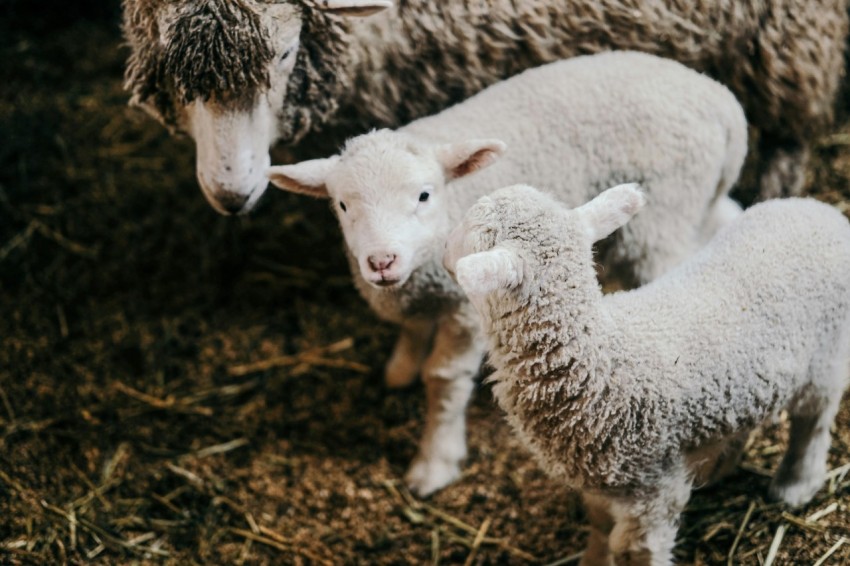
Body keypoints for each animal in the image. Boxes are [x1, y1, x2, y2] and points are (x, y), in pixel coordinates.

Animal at [265, 51, 748, 496]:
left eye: (423, 195)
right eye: (342, 205)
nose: (382, 261)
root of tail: (721, 101)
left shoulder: (463, 311)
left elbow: (443, 380)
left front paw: (435, 461)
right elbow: (413, 329)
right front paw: (401, 366)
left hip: (665, 212)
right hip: (697, 199)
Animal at [443, 183, 850, 565]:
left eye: (469, 231)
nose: (443, 252)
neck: (601, 361)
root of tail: (823, 211)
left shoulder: (654, 489)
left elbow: (634, 550)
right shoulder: (600, 482)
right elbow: (600, 526)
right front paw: (593, 561)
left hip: (826, 358)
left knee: (813, 422)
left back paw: (796, 484)